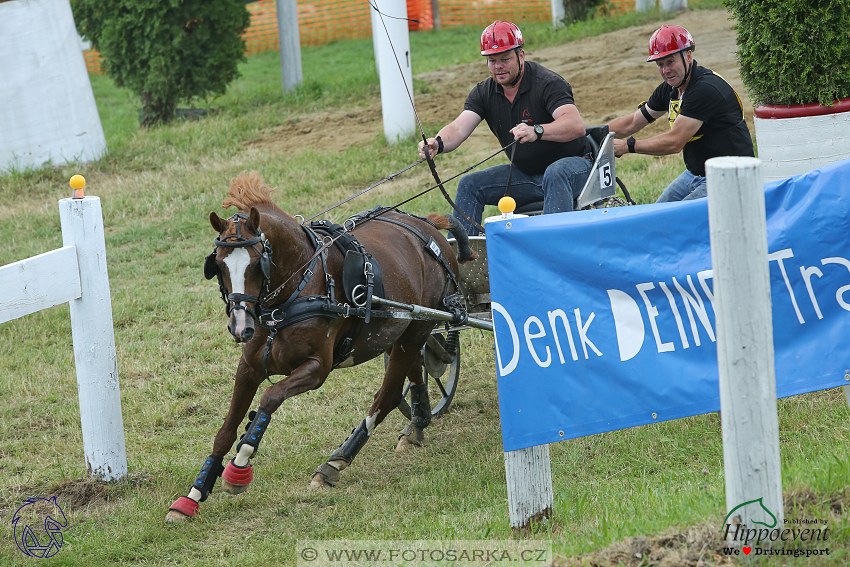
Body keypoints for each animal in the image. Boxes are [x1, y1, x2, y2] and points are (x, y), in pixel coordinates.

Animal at [162, 171, 474, 520]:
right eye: (218, 264)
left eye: (257, 263)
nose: (240, 327)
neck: (296, 290)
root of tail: (429, 227)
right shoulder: (249, 368)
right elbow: (225, 431)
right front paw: (193, 495)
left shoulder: (316, 369)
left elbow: (270, 398)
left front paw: (239, 466)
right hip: (400, 335)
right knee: (410, 377)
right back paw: (417, 424)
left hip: (417, 329)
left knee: (386, 397)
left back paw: (335, 462)